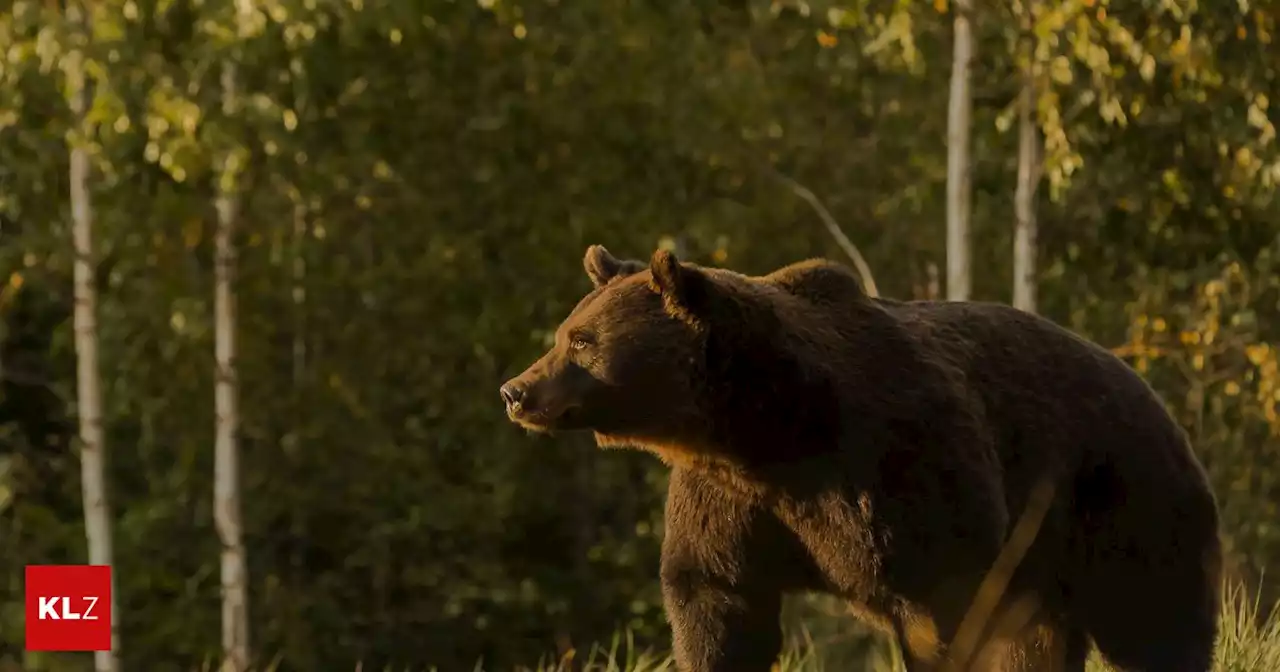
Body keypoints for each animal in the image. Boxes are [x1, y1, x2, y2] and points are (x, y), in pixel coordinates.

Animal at [496, 245, 1218, 670]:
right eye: (566, 332)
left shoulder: (903, 470)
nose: (516, 391)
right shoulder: (728, 501)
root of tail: (1152, 397)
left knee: (1153, 620)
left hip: (1121, 500)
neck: (769, 429)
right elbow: (716, 602)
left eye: (582, 342)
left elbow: (953, 607)